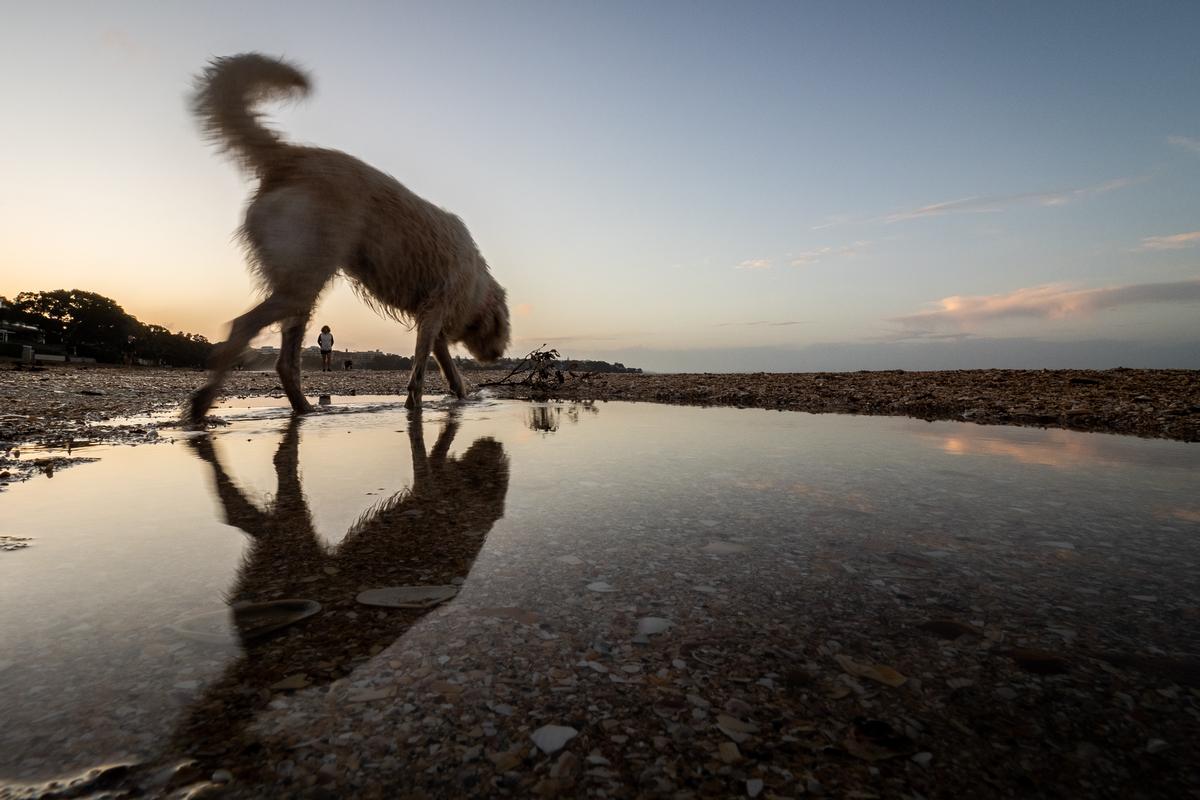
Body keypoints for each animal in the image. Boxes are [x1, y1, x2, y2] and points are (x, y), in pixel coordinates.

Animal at [188, 52, 511, 422]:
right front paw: (414, 404)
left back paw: (303, 408)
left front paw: (461, 396)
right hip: (303, 281)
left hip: (299, 291)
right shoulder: (434, 313)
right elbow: (419, 370)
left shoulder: (433, 321)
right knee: (242, 328)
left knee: (284, 362)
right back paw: (203, 404)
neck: (477, 286)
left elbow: (447, 367)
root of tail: (291, 156)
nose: (497, 357)